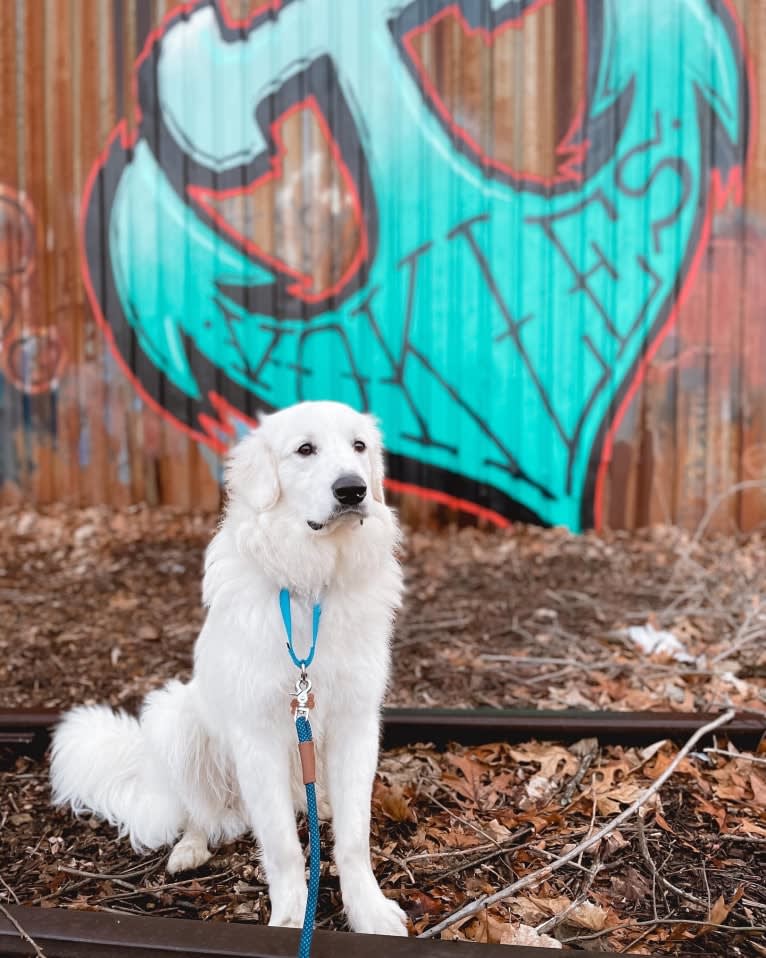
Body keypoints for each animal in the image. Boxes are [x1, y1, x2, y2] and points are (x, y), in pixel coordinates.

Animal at [51, 402, 412, 940]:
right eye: (305, 449)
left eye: (359, 447)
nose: (353, 489)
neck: (310, 582)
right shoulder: (257, 735)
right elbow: (283, 846)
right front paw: (291, 919)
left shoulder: (355, 725)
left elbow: (352, 839)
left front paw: (368, 912)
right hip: (175, 717)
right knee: (198, 813)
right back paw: (189, 849)